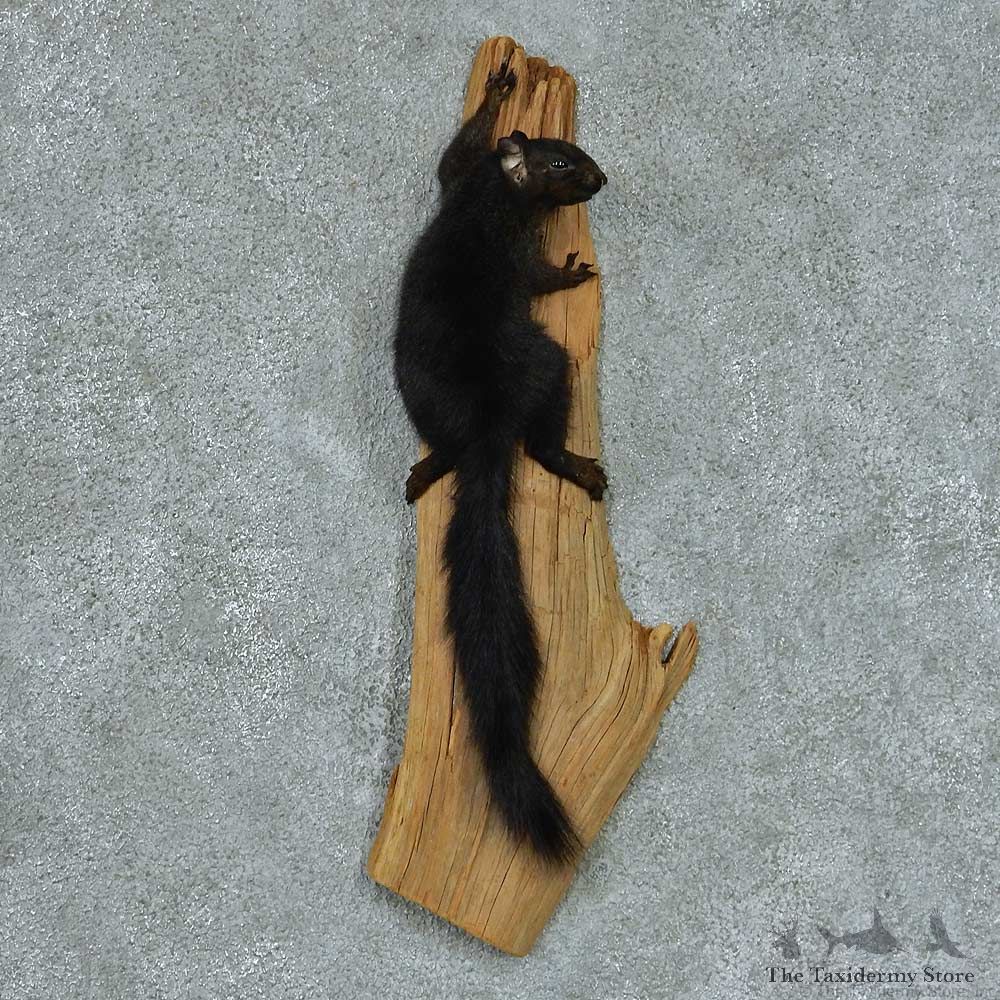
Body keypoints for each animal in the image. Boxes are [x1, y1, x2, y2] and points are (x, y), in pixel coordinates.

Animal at [392, 54, 608, 864]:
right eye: (563, 163)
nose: (602, 178)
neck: (494, 194)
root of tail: (485, 420)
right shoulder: (501, 234)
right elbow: (539, 275)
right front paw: (575, 271)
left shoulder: (459, 175)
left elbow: (454, 148)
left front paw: (501, 84)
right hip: (548, 366)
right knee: (537, 444)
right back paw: (577, 465)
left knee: (451, 448)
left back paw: (428, 470)